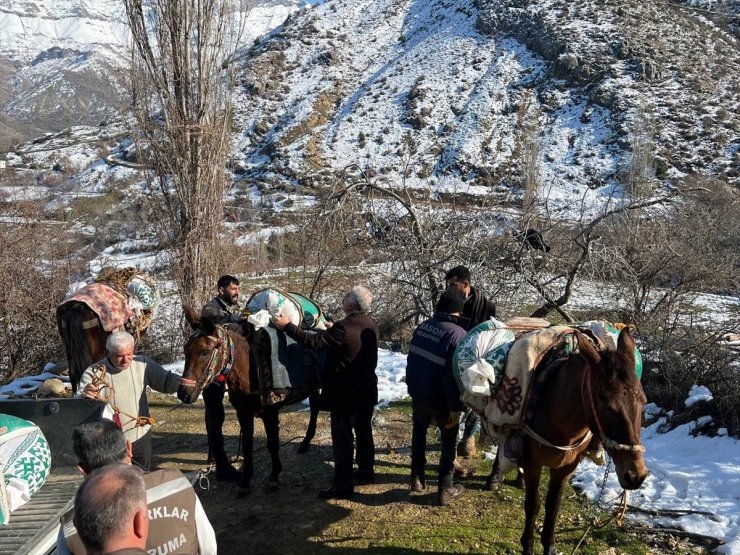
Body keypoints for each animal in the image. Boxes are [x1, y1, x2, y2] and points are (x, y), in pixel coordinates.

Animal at [179, 306, 320, 494]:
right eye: (186, 350)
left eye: (204, 352)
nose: (184, 394)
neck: (248, 371)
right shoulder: (243, 414)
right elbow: (247, 445)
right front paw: (245, 481)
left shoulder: (270, 413)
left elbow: (272, 444)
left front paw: (274, 477)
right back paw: (305, 442)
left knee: (316, 407)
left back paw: (305, 442)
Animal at [486, 330, 648, 555]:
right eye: (604, 401)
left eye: (643, 401)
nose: (636, 475)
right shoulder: (533, 464)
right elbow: (533, 505)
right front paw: (528, 545)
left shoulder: (566, 467)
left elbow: (553, 505)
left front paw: (549, 546)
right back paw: (494, 477)